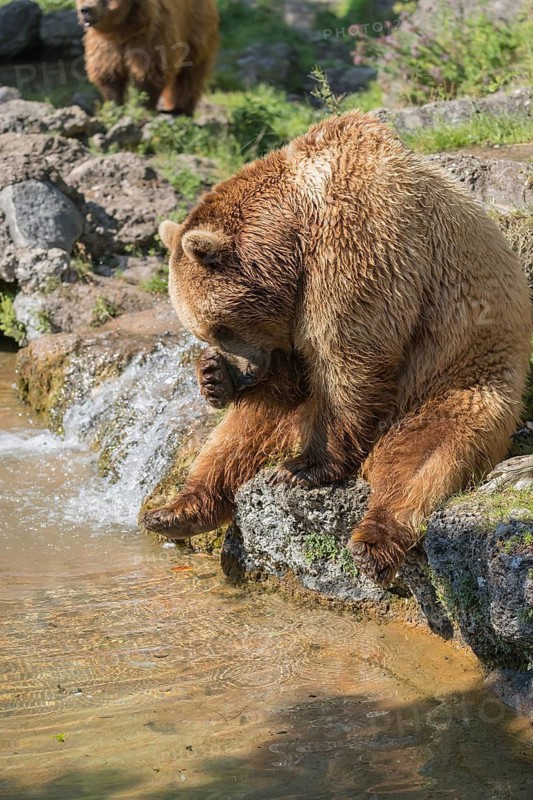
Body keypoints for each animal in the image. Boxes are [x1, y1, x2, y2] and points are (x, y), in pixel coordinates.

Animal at [77, 0, 219, 114]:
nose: (85, 10)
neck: (123, 28)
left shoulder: (150, 35)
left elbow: (150, 70)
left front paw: (144, 107)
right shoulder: (106, 42)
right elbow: (109, 71)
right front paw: (115, 105)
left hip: (195, 31)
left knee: (189, 75)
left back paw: (178, 110)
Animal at [141, 109, 532, 586]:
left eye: (220, 326)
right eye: (204, 333)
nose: (242, 374)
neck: (292, 230)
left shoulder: (356, 243)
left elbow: (349, 357)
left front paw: (303, 470)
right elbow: (292, 378)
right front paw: (213, 377)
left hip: (455, 380)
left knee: (425, 456)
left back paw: (371, 543)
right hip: (296, 416)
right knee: (238, 433)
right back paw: (174, 512)